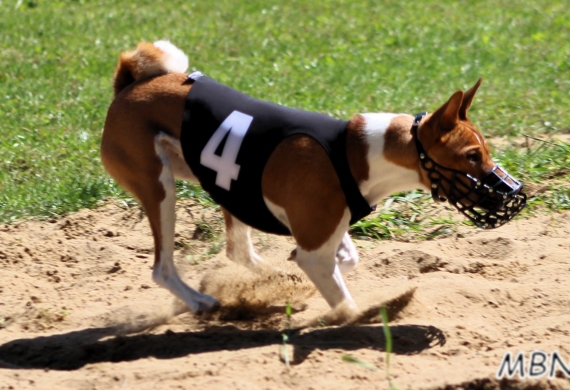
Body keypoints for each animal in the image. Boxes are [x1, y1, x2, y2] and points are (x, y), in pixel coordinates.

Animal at [101, 40, 524, 314]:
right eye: (472, 156)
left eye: (486, 151)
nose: (517, 193)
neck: (355, 152)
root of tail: (129, 86)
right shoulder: (315, 250)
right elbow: (345, 305)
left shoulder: (323, 232)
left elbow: (346, 257)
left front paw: (299, 273)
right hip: (160, 190)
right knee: (162, 267)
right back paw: (200, 301)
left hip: (224, 184)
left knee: (239, 251)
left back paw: (271, 279)